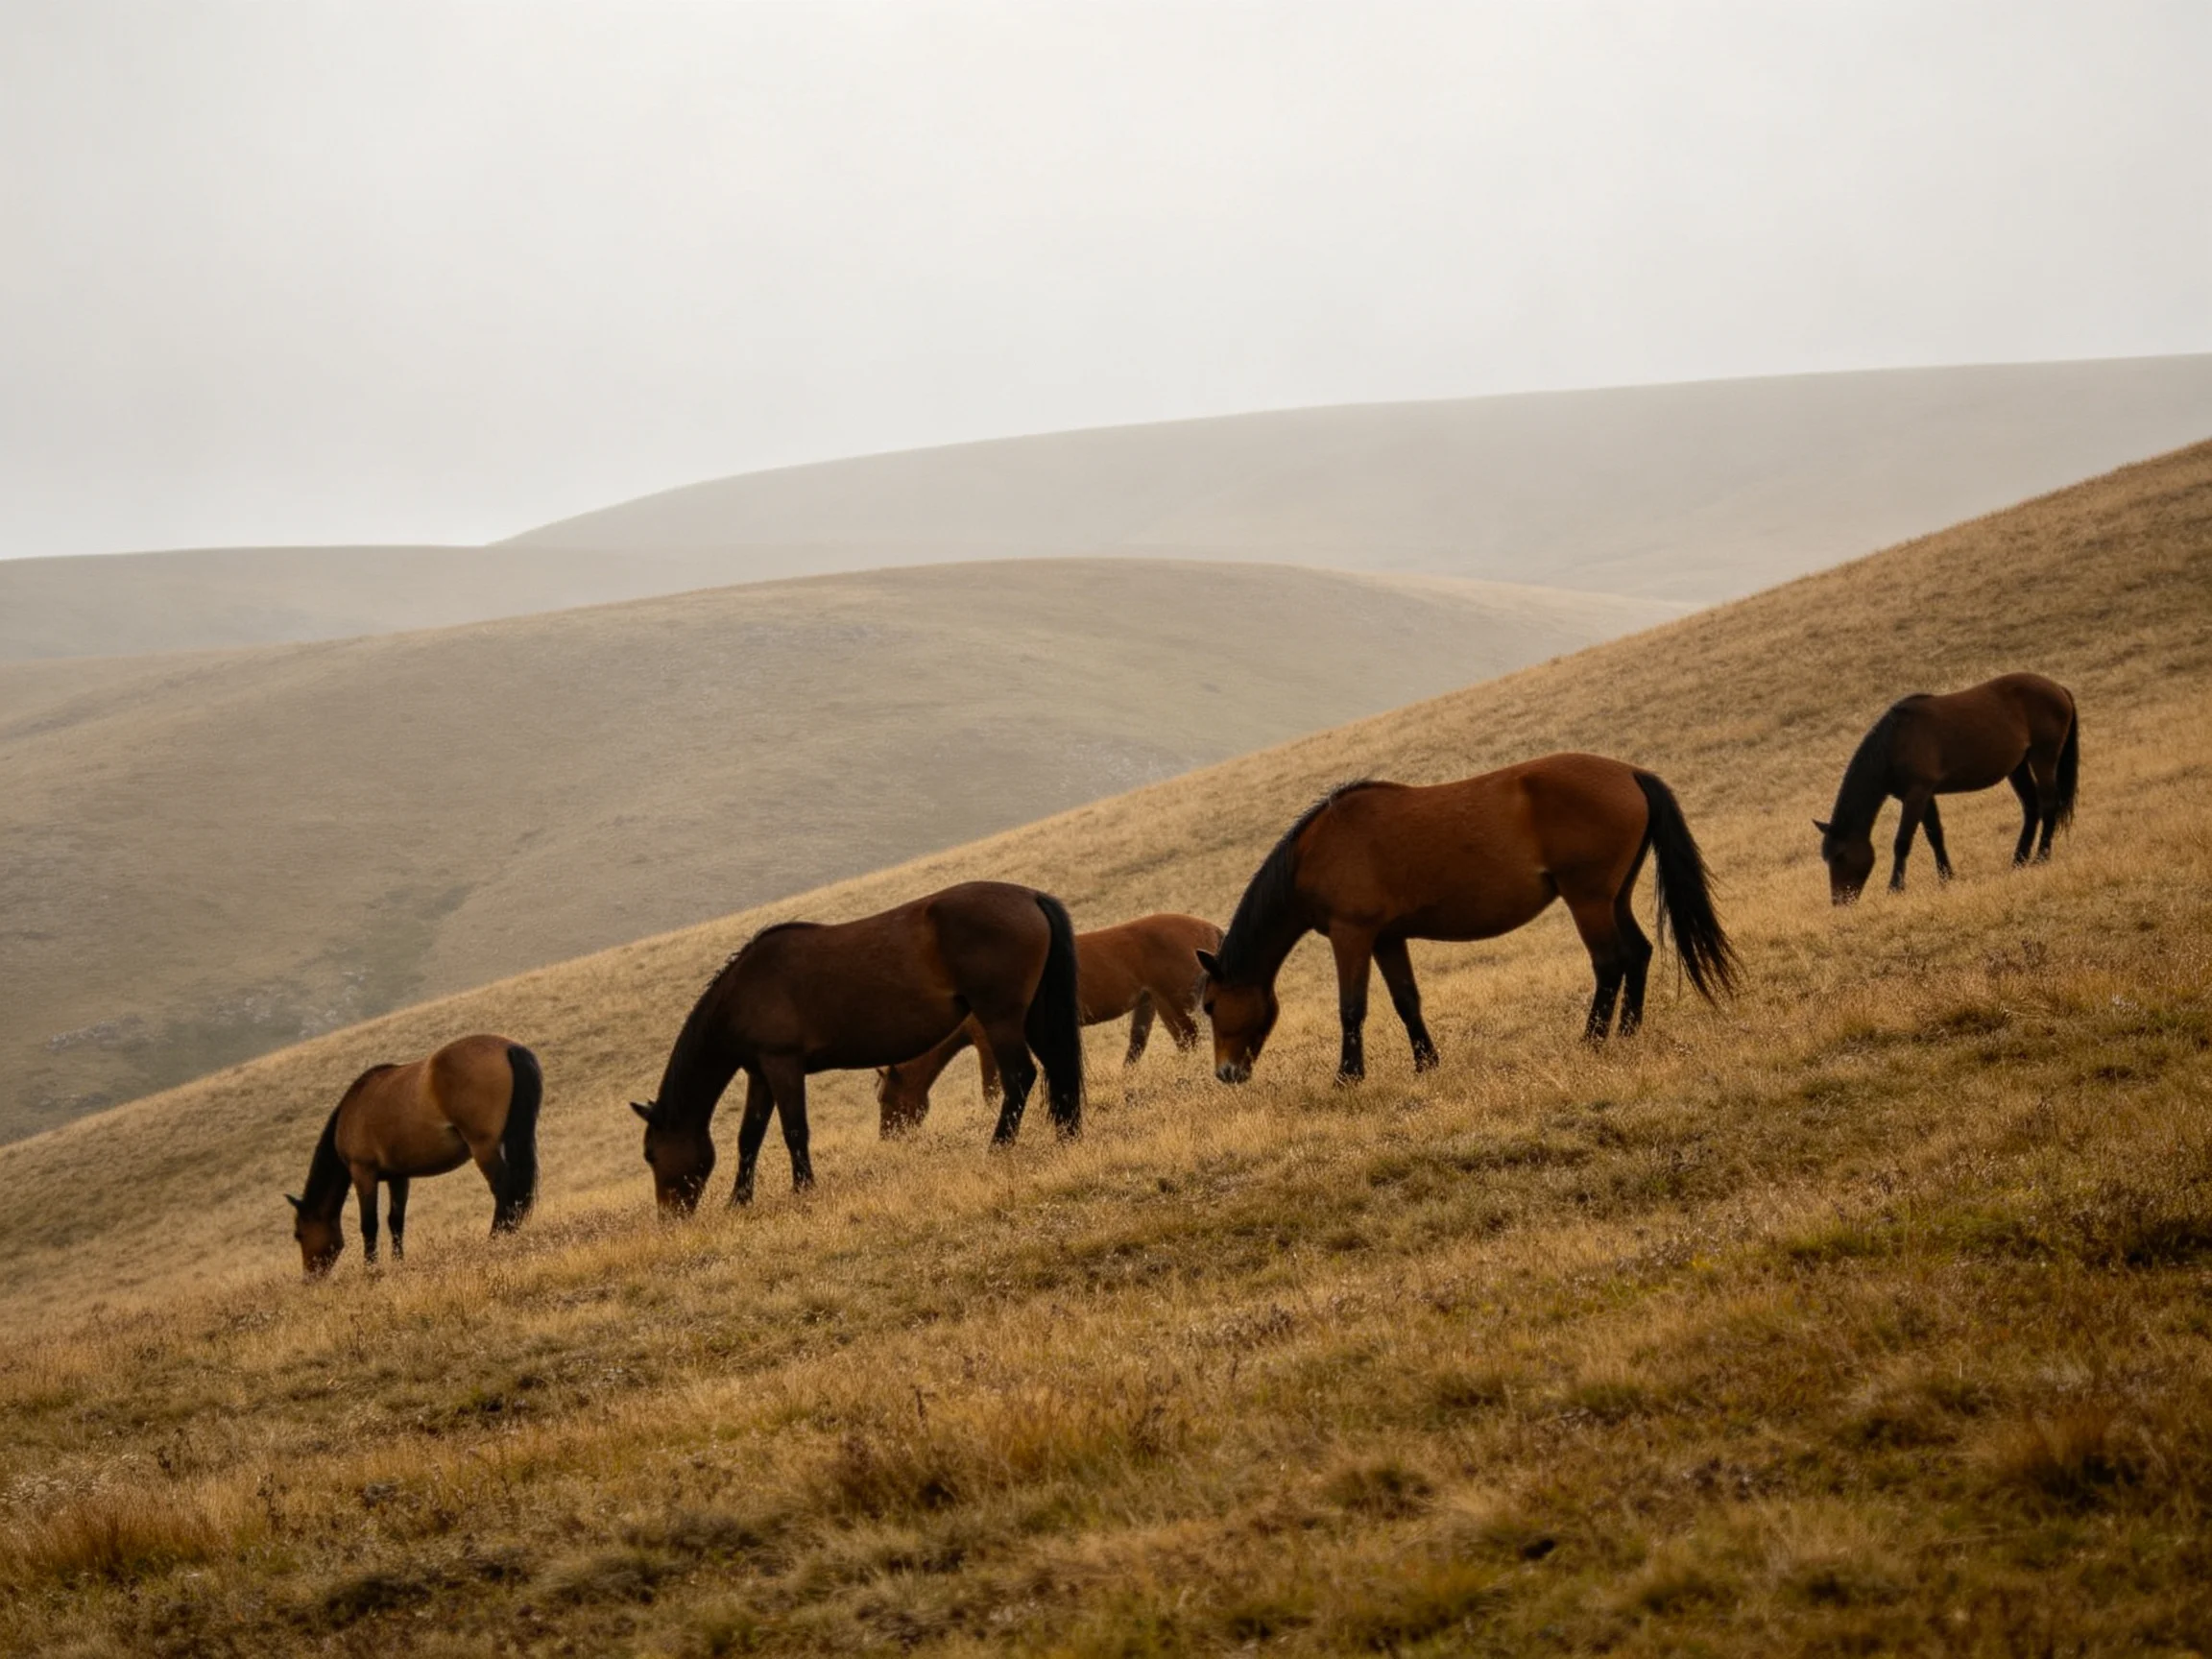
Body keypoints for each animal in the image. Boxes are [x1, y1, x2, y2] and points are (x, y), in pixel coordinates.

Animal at [287, 1034, 541, 1277]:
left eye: (298, 1234)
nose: (309, 1279)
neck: (352, 1110)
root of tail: (508, 1047)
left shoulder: (363, 1172)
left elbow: (369, 1224)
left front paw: (370, 1268)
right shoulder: (398, 1176)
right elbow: (395, 1220)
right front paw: (398, 1262)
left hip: (484, 1147)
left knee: (503, 1187)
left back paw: (496, 1237)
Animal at [632, 880, 1084, 1214]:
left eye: (651, 1153)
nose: (669, 1218)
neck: (744, 989)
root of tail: (1029, 896)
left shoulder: (783, 1065)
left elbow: (794, 1130)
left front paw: (803, 1189)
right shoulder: (760, 1072)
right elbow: (749, 1138)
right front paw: (738, 1201)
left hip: (1000, 1018)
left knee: (1020, 1077)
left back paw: (998, 1147)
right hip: (1033, 1015)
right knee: (1057, 1068)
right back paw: (1068, 1136)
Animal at [876, 912, 1223, 1131]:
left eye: (885, 1099)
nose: (889, 1136)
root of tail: (1208, 929)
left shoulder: (986, 1042)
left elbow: (990, 1088)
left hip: (1174, 1002)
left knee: (1190, 1040)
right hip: (1155, 1004)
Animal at [1195, 754, 1738, 1084]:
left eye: (1211, 1004)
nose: (1226, 1073)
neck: (1317, 851)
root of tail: (1629, 772)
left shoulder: (1352, 935)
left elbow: (1352, 1008)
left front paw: (1348, 1076)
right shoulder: (1388, 938)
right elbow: (1406, 1001)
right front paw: (1426, 1064)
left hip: (1586, 899)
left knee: (1610, 962)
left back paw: (1592, 1039)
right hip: (1613, 896)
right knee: (1638, 953)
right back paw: (1627, 1032)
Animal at [1815, 672, 2078, 904]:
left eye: (1840, 856)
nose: (1840, 901)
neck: (1895, 741)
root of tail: (2058, 688)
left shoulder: (1916, 794)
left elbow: (1902, 842)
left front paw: (1895, 888)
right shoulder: (1924, 795)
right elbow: (1935, 836)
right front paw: (1946, 878)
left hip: (2043, 757)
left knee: (2048, 805)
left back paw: (2041, 857)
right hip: (2018, 766)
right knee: (2031, 808)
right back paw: (2019, 860)